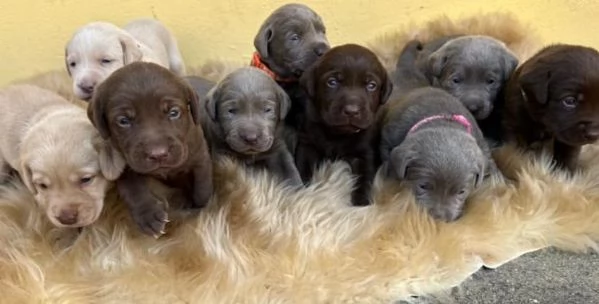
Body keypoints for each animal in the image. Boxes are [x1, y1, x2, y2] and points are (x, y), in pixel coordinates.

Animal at [87, 61, 213, 238]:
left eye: (174, 113)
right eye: (123, 121)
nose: (158, 154)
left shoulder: (200, 155)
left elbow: (203, 185)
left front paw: (201, 207)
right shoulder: (123, 165)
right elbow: (132, 188)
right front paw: (148, 215)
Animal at [296, 44, 394, 205]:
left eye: (371, 85)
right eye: (332, 82)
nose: (352, 111)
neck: (338, 133)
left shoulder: (366, 153)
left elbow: (365, 177)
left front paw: (361, 203)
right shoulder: (307, 144)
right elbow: (302, 168)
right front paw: (303, 194)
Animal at [504, 43, 599, 171]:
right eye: (569, 101)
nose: (594, 134)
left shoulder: (568, 140)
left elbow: (568, 154)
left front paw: (563, 173)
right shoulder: (513, 127)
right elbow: (514, 151)